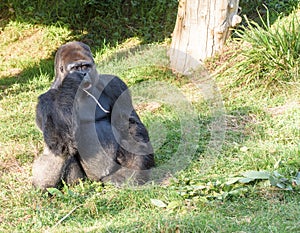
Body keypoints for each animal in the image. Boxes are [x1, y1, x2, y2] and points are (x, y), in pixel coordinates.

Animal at [32, 41, 155, 189]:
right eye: (75, 68)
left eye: (85, 66)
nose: (83, 73)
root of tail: (100, 179)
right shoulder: (45, 100)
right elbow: (59, 142)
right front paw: (72, 80)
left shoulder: (115, 84)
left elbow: (130, 124)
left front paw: (136, 170)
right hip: (84, 179)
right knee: (59, 153)